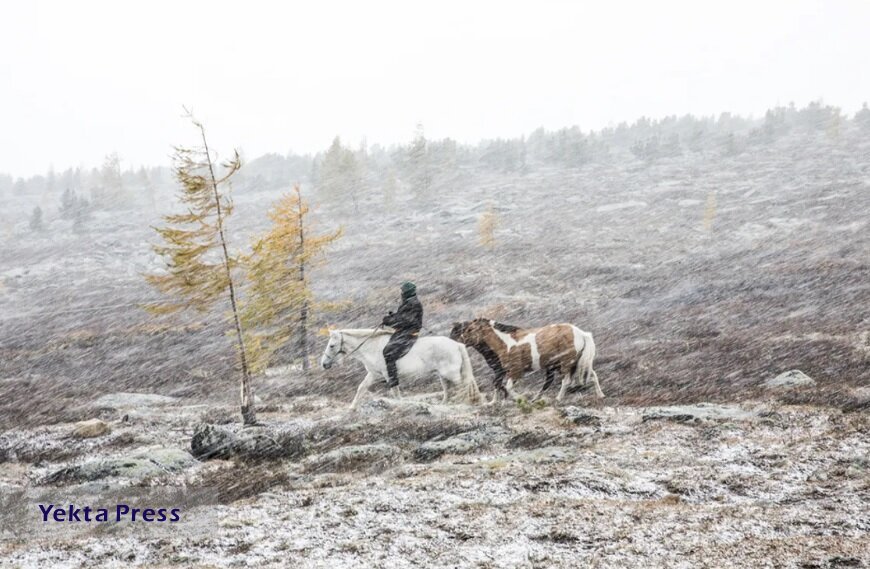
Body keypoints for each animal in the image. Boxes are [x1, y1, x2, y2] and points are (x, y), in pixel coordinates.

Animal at [320, 328, 484, 408]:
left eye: (332, 345)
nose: (324, 364)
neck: (372, 347)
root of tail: (457, 344)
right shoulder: (374, 374)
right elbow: (361, 388)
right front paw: (352, 408)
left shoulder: (388, 374)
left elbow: (395, 392)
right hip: (443, 375)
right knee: (448, 390)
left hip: (451, 374)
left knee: (463, 386)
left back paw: (466, 402)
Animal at [454, 318, 604, 402]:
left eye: (470, 329)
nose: (458, 341)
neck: (506, 343)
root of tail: (581, 333)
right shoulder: (506, 372)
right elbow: (501, 385)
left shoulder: (515, 371)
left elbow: (507, 387)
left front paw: (520, 399)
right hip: (579, 362)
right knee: (592, 375)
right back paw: (600, 395)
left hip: (567, 362)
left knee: (566, 381)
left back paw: (558, 398)